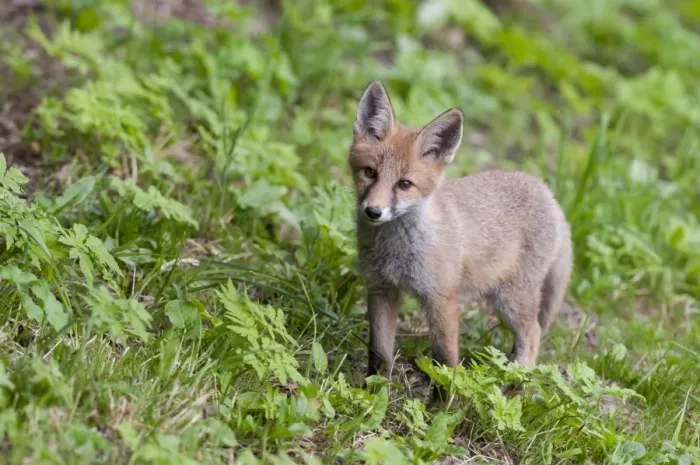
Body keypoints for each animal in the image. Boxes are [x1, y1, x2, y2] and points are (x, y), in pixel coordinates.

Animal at [348, 80, 573, 383]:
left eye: (404, 184)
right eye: (370, 173)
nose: (373, 211)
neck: (396, 251)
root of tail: (550, 194)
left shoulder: (441, 297)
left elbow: (445, 362)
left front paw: (444, 396)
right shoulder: (381, 289)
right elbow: (380, 354)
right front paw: (373, 390)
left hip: (510, 300)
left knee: (533, 334)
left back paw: (514, 383)